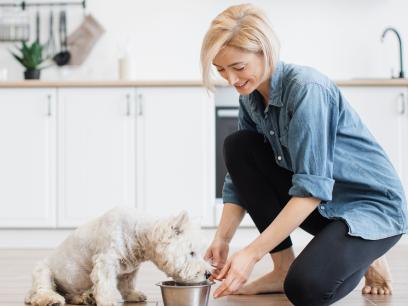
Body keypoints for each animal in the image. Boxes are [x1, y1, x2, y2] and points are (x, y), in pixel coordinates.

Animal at [23, 206, 212, 306]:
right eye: (192, 253)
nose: (208, 273)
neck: (140, 234)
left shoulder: (130, 269)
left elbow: (128, 284)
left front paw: (134, 296)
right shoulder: (105, 261)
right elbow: (105, 283)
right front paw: (108, 301)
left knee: (71, 295)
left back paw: (85, 297)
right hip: (43, 270)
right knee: (42, 289)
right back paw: (51, 299)